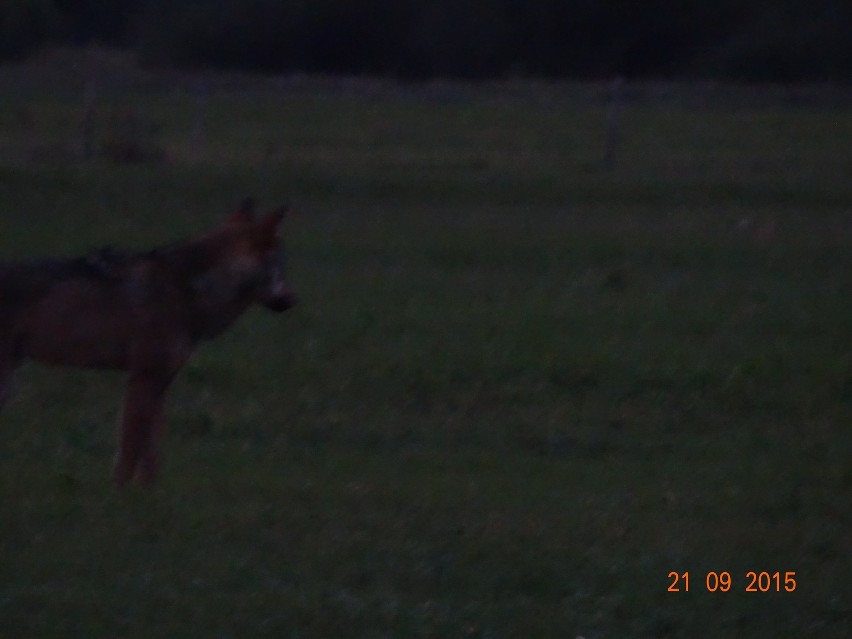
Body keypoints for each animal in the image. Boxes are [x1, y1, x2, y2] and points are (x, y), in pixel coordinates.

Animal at [0, 198, 296, 488]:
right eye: (282, 268)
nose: (294, 300)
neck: (189, 292)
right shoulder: (142, 378)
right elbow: (130, 449)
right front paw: (119, 495)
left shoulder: (162, 382)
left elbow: (152, 453)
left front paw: (148, 496)